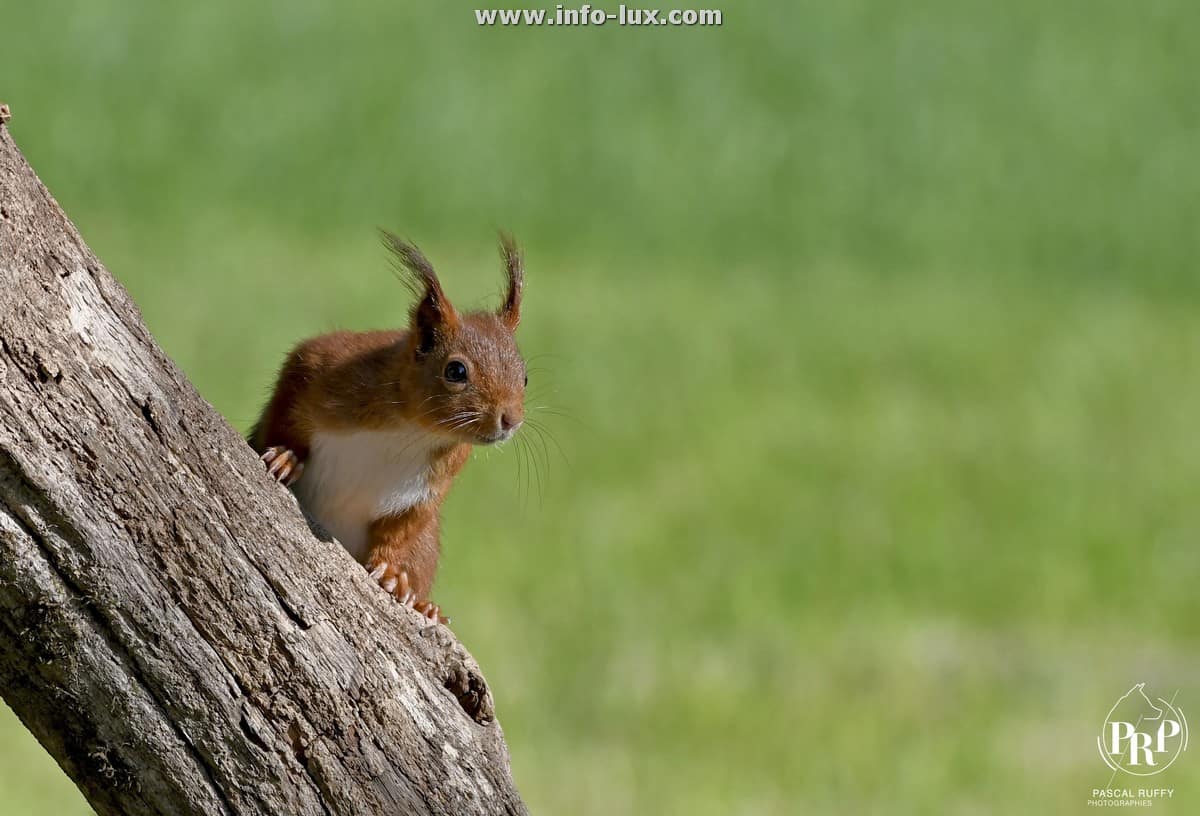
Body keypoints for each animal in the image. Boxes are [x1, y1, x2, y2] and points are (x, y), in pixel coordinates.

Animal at [250, 231, 528, 624]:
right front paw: (286, 456)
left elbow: (403, 528)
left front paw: (394, 576)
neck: (413, 430)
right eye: (456, 371)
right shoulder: (320, 367)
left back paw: (427, 606)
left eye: (525, 376)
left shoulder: (430, 486)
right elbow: (283, 412)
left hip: (427, 544)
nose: (510, 421)